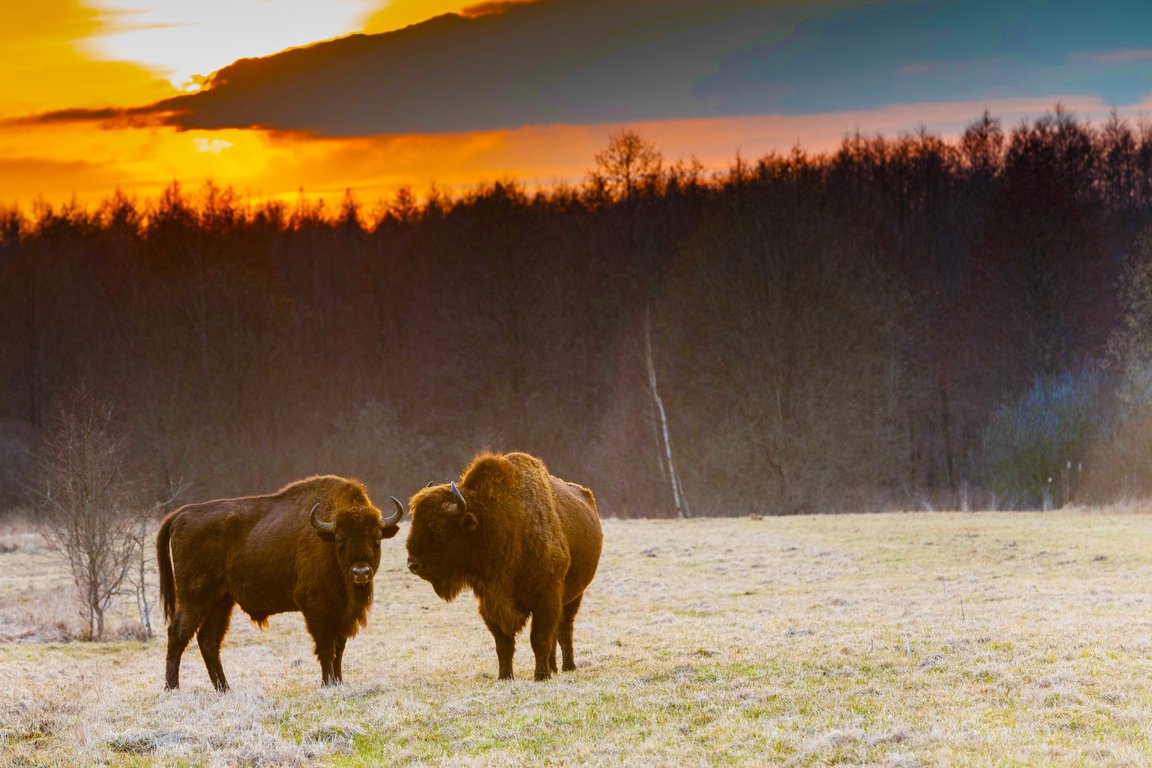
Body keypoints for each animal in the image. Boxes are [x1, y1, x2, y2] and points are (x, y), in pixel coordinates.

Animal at [155, 474, 403, 690]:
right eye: (340, 540)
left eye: (377, 539)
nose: (360, 572)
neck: (327, 540)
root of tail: (181, 515)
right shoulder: (316, 610)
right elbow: (325, 648)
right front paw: (327, 684)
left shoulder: (342, 615)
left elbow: (339, 650)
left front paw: (339, 682)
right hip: (194, 598)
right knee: (178, 634)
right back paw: (172, 688)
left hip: (220, 602)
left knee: (208, 641)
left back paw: (224, 689)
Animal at [405, 453, 603, 681]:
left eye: (438, 526)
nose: (413, 564)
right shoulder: (489, 602)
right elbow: (503, 643)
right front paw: (505, 676)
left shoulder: (546, 598)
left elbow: (539, 638)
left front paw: (541, 675)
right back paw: (553, 667)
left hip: (575, 596)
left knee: (564, 629)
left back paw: (567, 666)